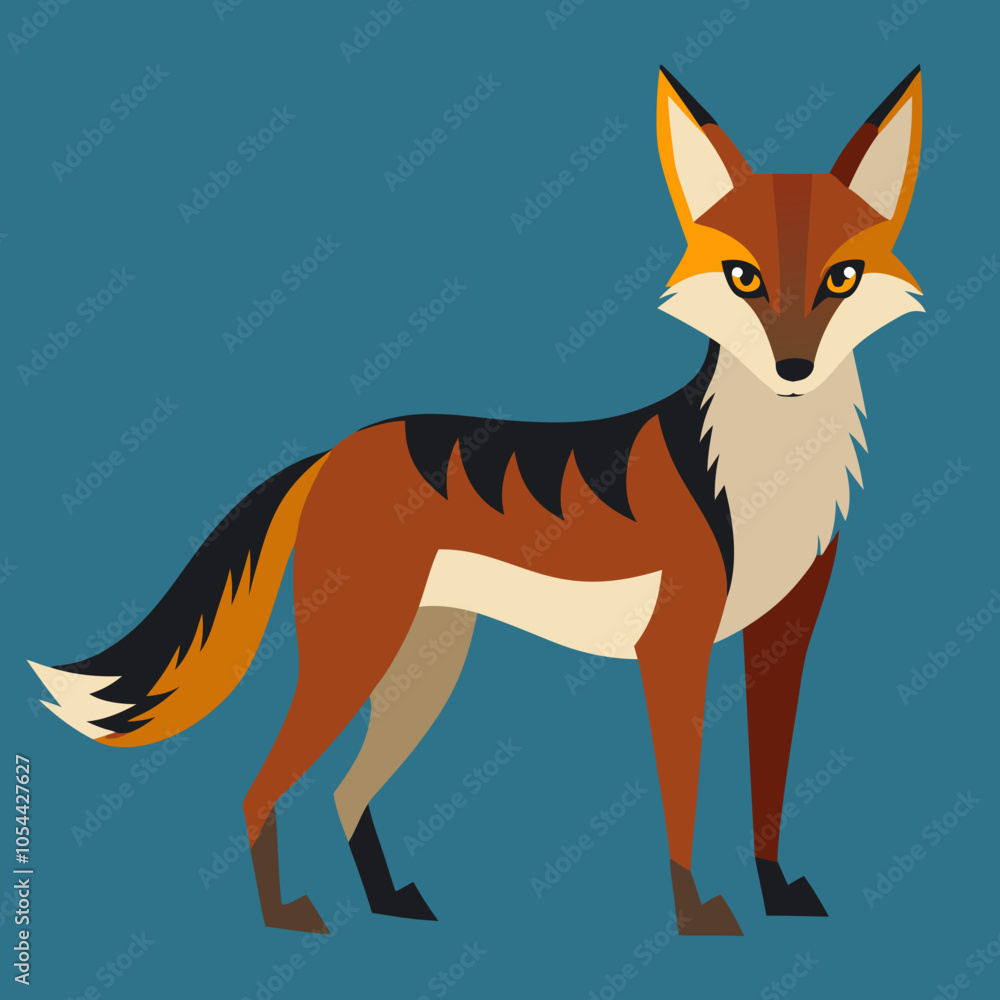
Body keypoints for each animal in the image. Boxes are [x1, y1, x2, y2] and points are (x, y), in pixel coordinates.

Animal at [29, 65, 924, 936]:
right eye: (744, 279)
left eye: (842, 278)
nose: (793, 370)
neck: (764, 473)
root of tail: (333, 451)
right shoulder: (672, 650)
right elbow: (686, 802)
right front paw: (698, 917)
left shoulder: (785, 638)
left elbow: (768, 794)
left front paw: (778, 896)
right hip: (357, 654)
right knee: (262, 786)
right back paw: (284, 919)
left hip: (422, 665)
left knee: (343, 791)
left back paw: (390, 904)